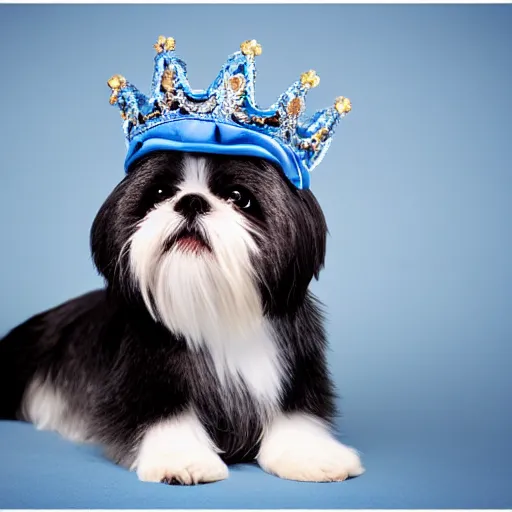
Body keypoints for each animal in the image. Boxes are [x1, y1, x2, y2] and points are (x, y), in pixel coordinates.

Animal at [0, 36, 364, 484]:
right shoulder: (148, 378)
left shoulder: (291, 368)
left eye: (239, 198)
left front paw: (311, 455)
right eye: (159, 194)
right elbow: (165, 416)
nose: (191, 201)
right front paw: (182, 459)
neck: (213, 309)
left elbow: (297, 416)